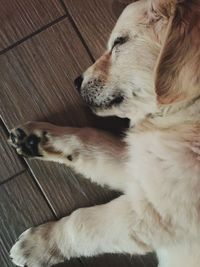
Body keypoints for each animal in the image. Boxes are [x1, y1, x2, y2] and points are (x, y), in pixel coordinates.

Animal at [9, 0, 200, 266]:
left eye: (119, 42)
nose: (76, 81)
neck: (187, 112)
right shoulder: (142, 169)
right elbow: (91, 142)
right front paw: (38, 138)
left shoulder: (156, 211)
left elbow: (82, 223)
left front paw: (39, 244)